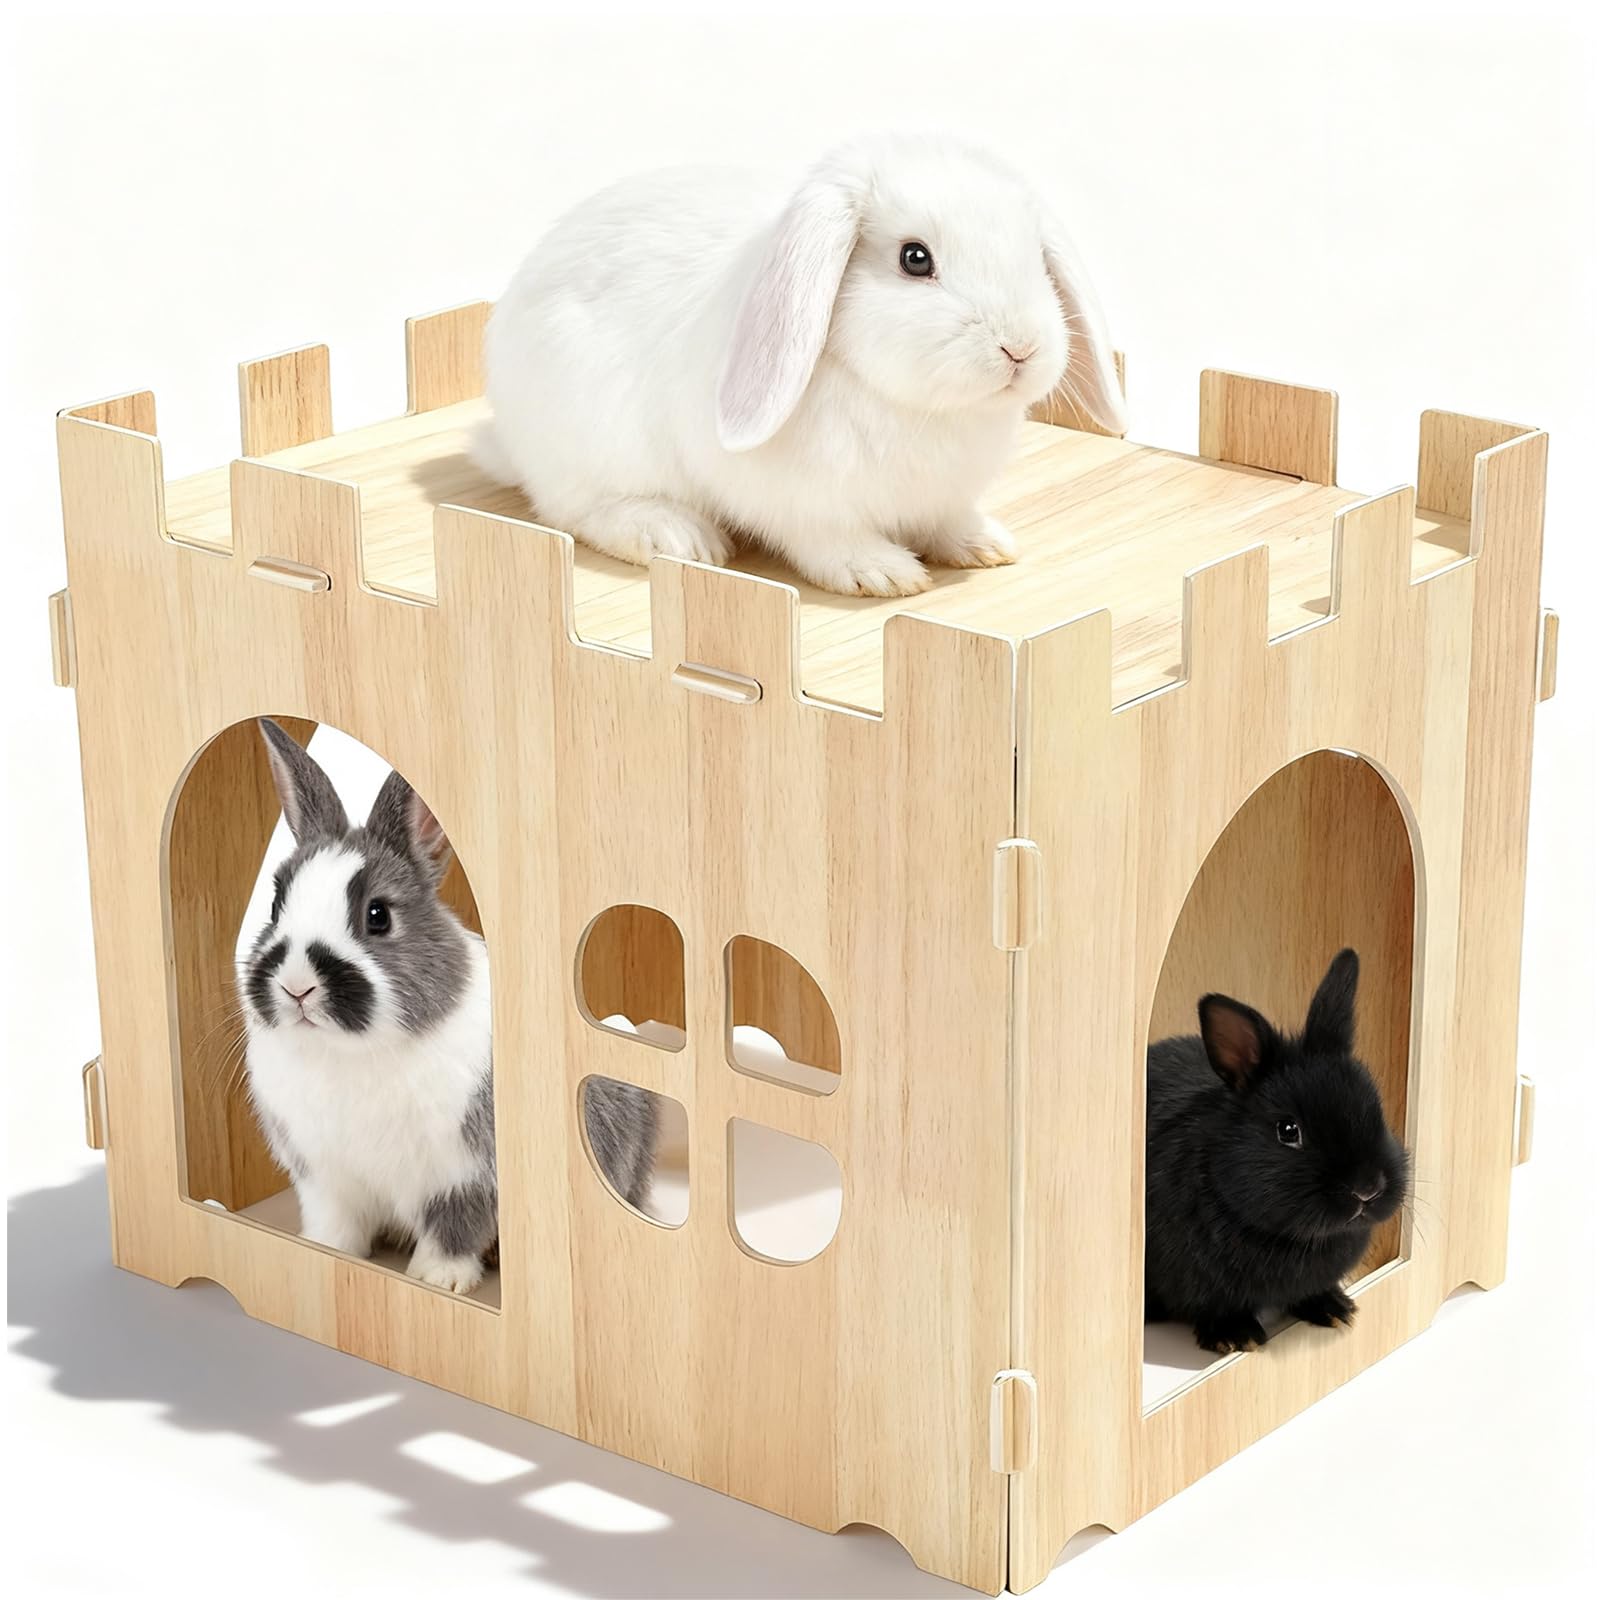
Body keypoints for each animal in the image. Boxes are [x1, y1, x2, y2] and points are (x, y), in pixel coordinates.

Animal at [239, 719, 659, 1295]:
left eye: (377, 915)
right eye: (276, 902)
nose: (297, 987)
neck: (351, 1052)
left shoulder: (463, 1176)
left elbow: (452, 1227)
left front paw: (441, 1281)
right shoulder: (325, 1177)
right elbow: (337, 1226)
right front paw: (325, 1252)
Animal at [475, 133, 1126, 599]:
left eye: (1035, 257)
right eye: (915, 259)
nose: (1021, 348)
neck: (914, 407)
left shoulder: (941, 498)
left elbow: (947, 520)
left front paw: (984, 544)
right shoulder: (802, 505)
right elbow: (826, 538)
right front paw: (882, 573)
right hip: (595, 447)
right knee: (578, 510)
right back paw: (677, 535)